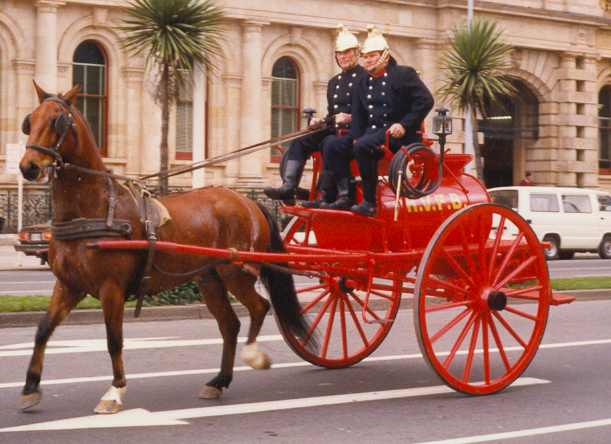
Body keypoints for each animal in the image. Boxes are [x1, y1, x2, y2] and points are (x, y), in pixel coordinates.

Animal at [17, 82, 312, 414]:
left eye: (57, 121)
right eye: (30, 120)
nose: (29, 167)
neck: (92, 210)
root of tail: (248, 201)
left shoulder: (111, 289)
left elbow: (113, 340)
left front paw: (115, 391)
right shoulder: (69, 285)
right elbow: (43, 329)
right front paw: (30, 386)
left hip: (234, 273)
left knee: (259, 308)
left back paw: (252, 356)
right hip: (209, 279)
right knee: (230, 324)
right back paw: (218, 381)